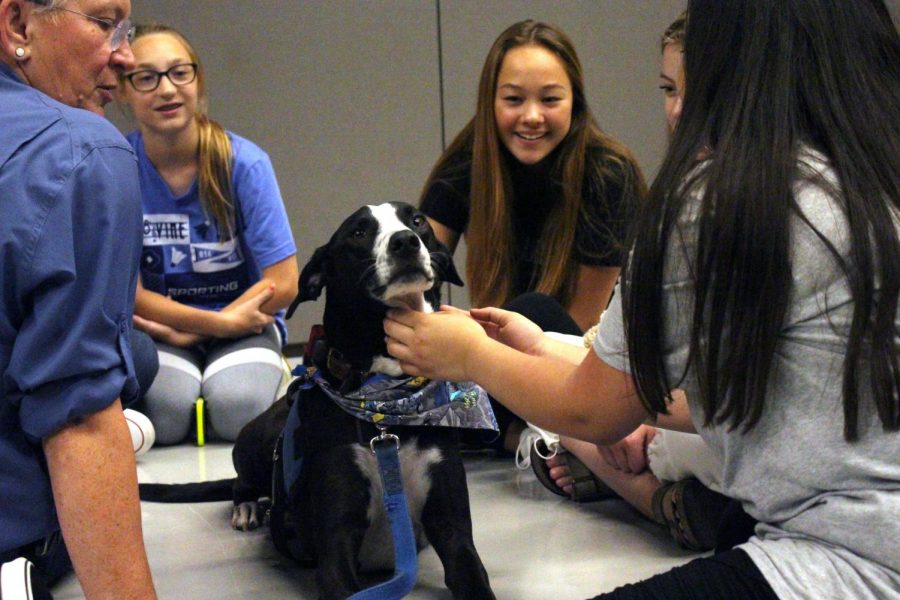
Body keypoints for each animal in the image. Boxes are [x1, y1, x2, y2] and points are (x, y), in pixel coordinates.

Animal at [142, 203, 492, 600]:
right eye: (358, 232)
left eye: (418, 221)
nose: (406, 241)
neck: (386, 412)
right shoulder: (336, 548)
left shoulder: (454, 532)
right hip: (254, 441)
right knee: (239, 483)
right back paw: (248, 507)